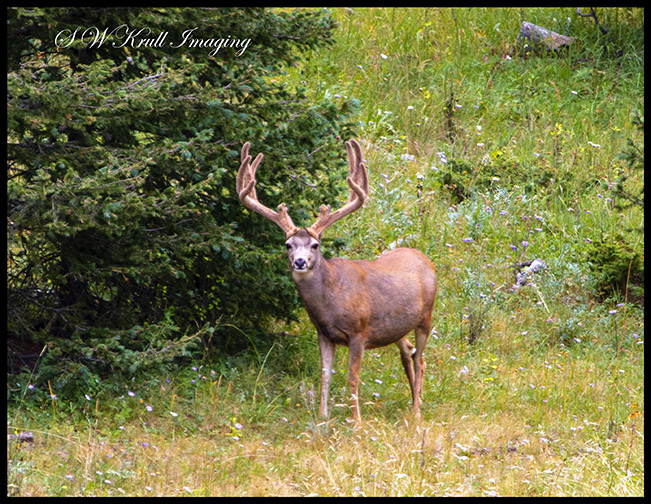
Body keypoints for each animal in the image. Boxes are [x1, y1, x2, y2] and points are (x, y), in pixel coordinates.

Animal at [236, 139, 437, 424]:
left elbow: (352, 378)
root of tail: (425, 258)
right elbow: (324, 376)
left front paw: (356, 423)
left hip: (426, 317)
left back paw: (417, 411)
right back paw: (413, 401)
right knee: (407, 351)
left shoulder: (359, 332)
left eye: (315, 245)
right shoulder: (324, 333)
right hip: (398, 326)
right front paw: (322, 418)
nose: (300, 262)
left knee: (420, 359)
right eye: (288, 244)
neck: (331, 301)